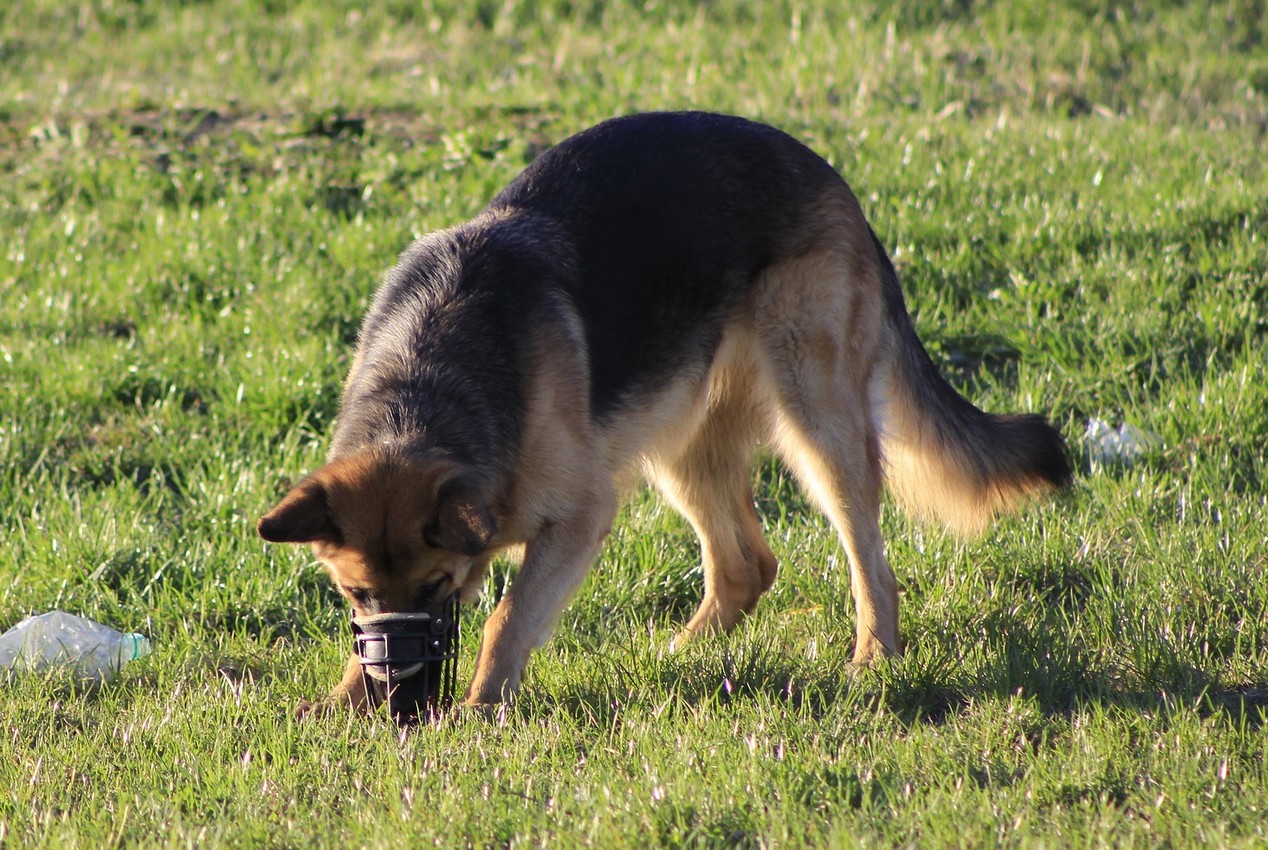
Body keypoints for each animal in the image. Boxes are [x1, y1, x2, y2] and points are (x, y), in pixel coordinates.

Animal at [257, 111, 1070, 710]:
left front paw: (481, 708)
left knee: (869, 561)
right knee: (746, 566)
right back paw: (683, 656)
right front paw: (343, 701)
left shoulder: (580, 517)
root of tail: (830, 177)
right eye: (356, 593)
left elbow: (505, 618)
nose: (398, 692)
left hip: (817, 426)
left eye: (437, 587)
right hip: (677, 443)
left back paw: (871, 659)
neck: (426, 387)